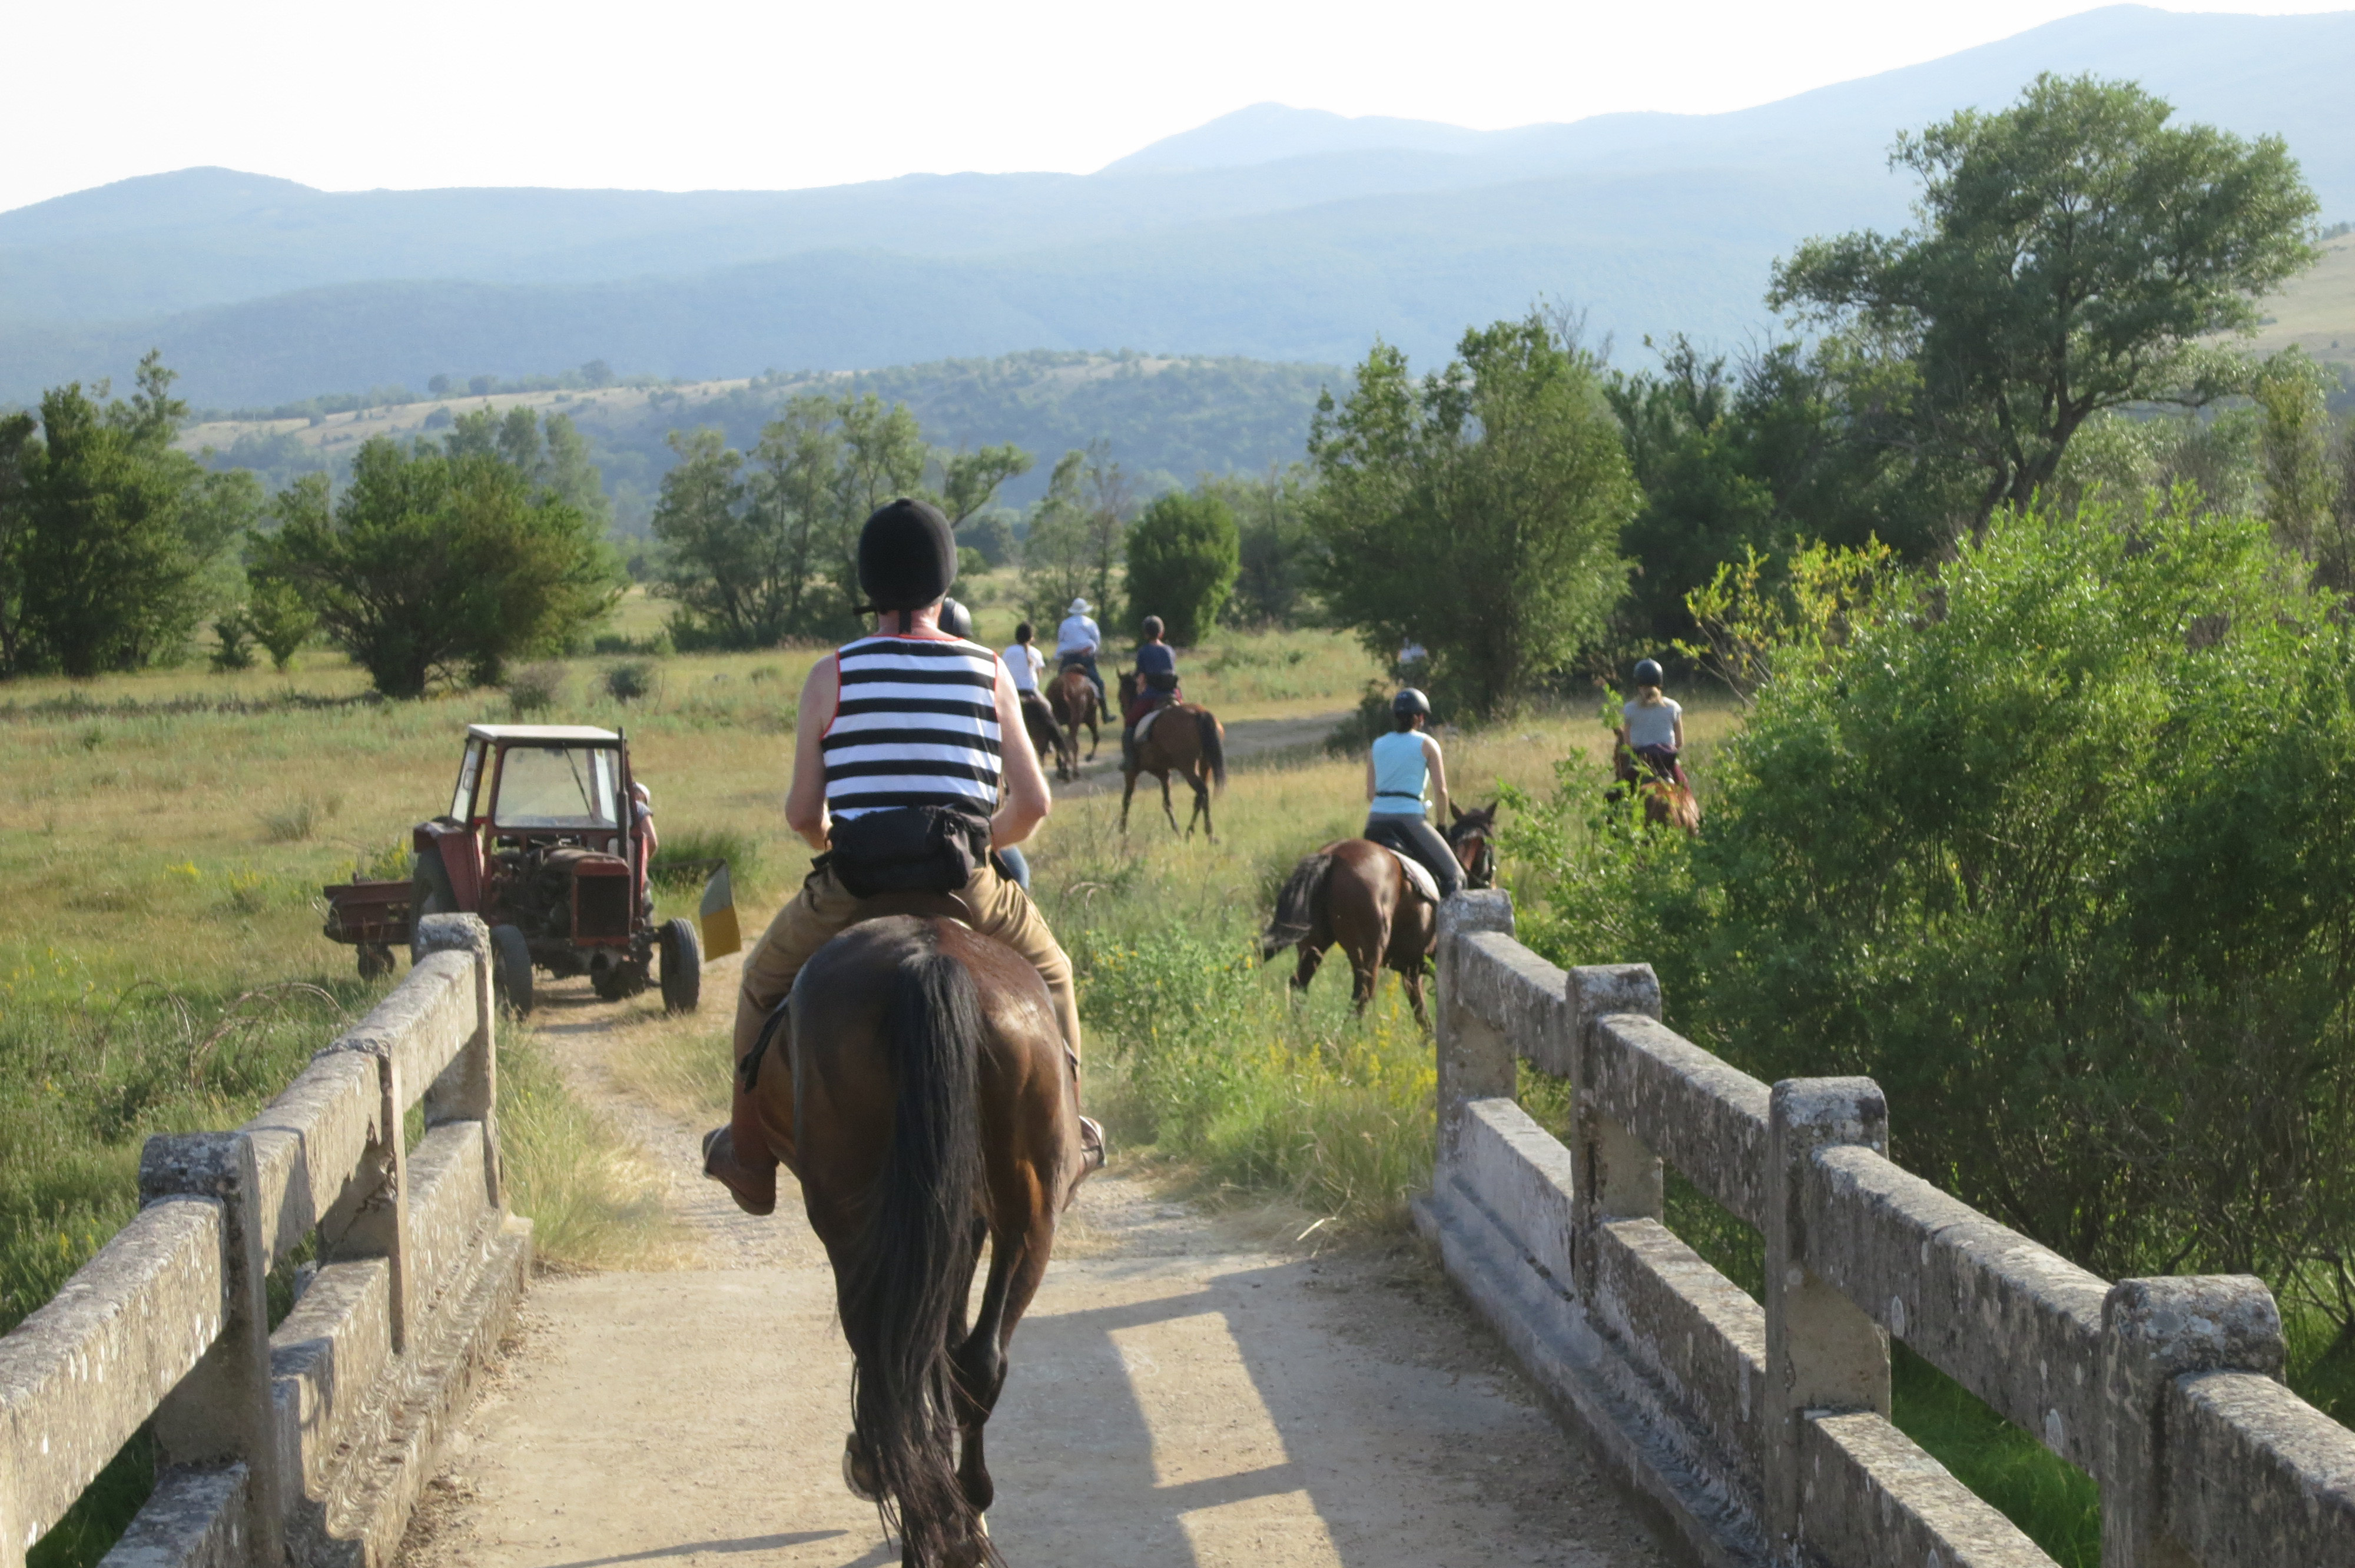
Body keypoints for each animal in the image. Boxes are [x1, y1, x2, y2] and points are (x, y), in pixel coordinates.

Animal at [791, 909, 1083, 1554]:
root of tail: (931, 960)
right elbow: (948, 1341)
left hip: (851, 1219)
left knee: (891, 1360)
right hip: (1029, 1216)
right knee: (975, 1361)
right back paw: (960, 1511)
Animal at [1046, 664, 1097, 777]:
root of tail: (1063, 687)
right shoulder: (1089, 717)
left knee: (1063, 741)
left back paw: (1062, 768)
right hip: (1076, 720)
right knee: (1073, 743)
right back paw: (1073, 771)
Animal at [1121, 673, 1234, 843]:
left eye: (1120, 695)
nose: (1123, 710)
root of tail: (1199, 713)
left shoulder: (1133, 772)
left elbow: (1127, 799)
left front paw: (1122, 831)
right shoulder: (1164, 773)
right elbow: (1167, 803)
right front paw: (1177, 830)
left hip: (1187, 766)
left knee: (1202, 791)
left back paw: (1202, 832)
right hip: (1205, 764)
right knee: (1200, 796)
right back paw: (1196, 832)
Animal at [1262, 800, 1498, 1022]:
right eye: (1492, 845)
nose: (1492, 885)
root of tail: (1333, 855)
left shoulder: (1411, 970)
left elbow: (1422, 1017)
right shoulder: (1419, 970)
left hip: (1313, 945)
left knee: (1299, 985)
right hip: (1367, 955)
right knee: (1360, 998)